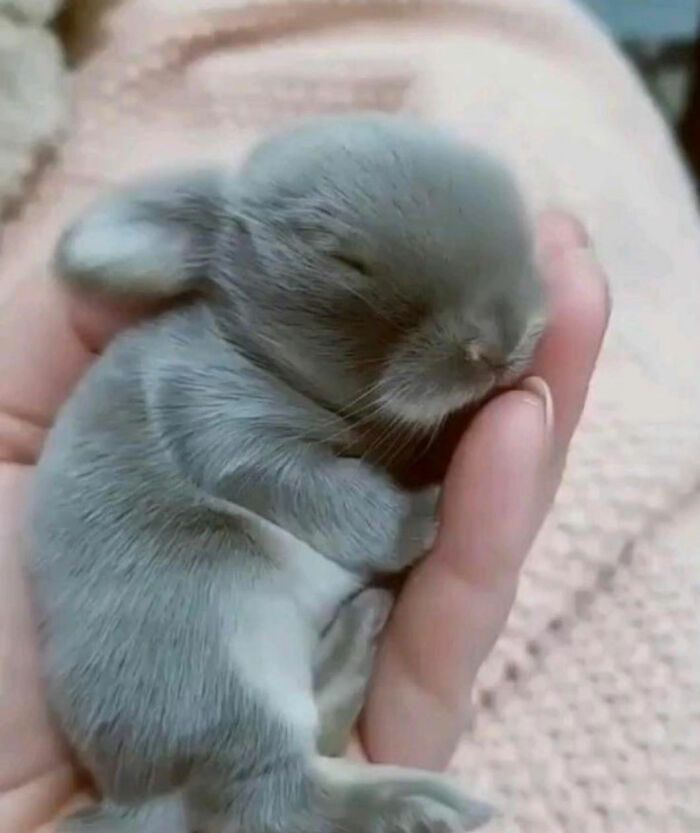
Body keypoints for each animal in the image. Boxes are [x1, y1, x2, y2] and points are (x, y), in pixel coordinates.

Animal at [30, 115, 548, 832]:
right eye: (341, 259)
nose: (500, 340)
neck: (262, 356)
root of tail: (141, 797)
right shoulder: (221, 423)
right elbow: (332, 493)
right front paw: (426, 513)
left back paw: (364, 627)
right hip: (227, 659)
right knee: (278, 791)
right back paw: (431, 804)